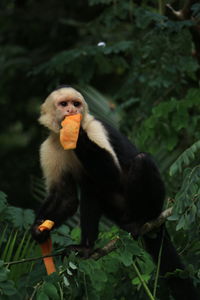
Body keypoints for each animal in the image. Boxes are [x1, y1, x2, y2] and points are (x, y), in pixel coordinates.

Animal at [32, 85, 199, 298]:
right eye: (63, 104)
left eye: (76, 104)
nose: (72, 111)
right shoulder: (49, 147)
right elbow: (65, 197)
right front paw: (38, 228)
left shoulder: (95, 127)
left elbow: (111, 174)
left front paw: (78, 135)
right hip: (118, 213)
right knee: (90, 188)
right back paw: (86, 248)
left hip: (149, 205)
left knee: (138, 162)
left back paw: (142, 219)